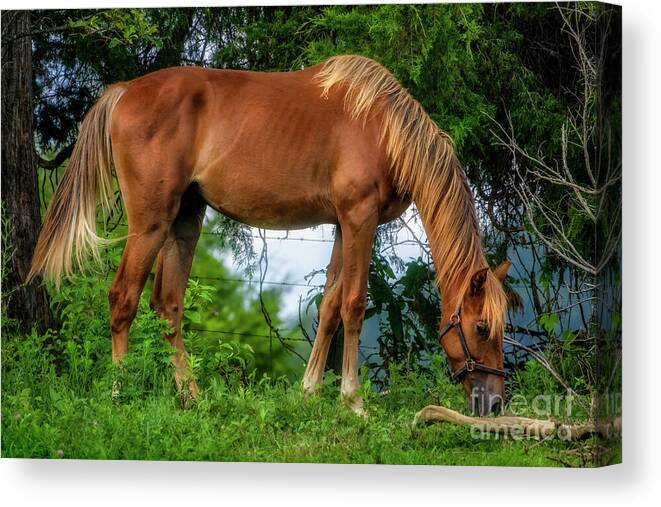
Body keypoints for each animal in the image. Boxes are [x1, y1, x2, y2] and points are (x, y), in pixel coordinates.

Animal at [28, 54, 510, 416]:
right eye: (481, 327)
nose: (495, 404)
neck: (381, 126)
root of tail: (125, 90)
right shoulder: (360, 219)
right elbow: (353, 304)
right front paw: (353, 401)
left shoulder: (343, 225)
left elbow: (330, 306)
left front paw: (309, 392)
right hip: (150, 224)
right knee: (123, 299)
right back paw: (119, 394)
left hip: (185, 221)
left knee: (167, 307)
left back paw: (191, 396)